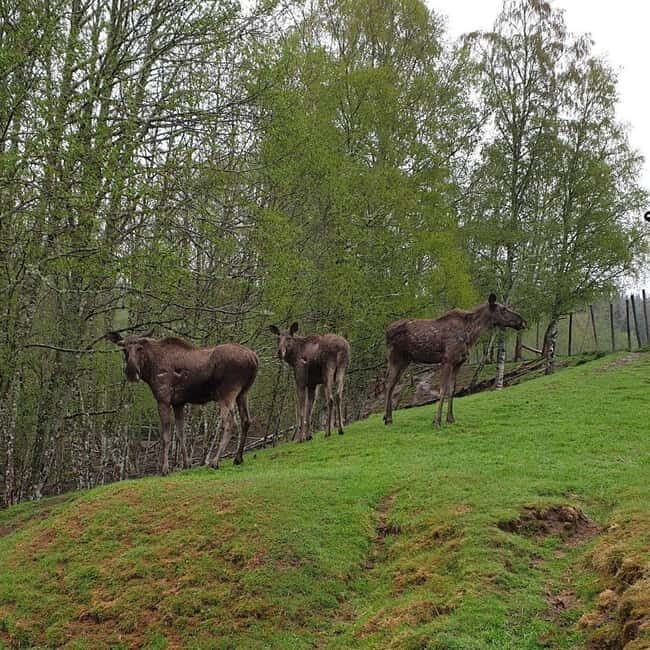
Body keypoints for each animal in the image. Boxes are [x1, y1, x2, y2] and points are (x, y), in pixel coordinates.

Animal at [106, 330, 258, 474]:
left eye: (139, 348)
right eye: (124, 349)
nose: (131, 372)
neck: (149, 369)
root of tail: (254, 359)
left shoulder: (163, 400)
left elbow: (166, 436)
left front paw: (165, 469)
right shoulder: (178, 403)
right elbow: (181, 433)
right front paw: (186, 464)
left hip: (227, 394)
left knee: (230, 423)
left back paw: (215, 461)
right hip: (243, 393)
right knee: (246, 420)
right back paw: (238, 458)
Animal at [383, 294, 526, 427]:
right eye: (503, 309)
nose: (523, 321)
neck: (471, 335)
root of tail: (386, 332)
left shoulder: (458, 363)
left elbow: (452, 390)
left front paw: (450, 418)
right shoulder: (447, 361)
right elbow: (443, 390)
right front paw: (437, 421)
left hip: (405, 360)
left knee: (392, 385)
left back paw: (388, 417)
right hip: (395, 358)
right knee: (389, 385)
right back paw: (387, 418)